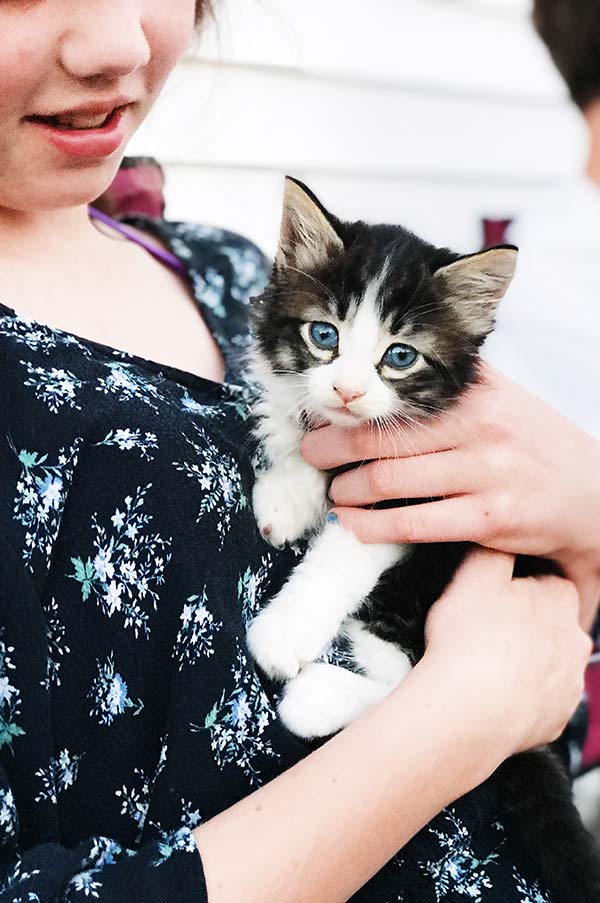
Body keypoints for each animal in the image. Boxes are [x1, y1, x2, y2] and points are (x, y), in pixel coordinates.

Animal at [246, 177, 600, 903]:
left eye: (399, 356)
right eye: (323, 336)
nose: (348, 390)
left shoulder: (415, 497)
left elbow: (343, 554)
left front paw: (286, 631)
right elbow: (307, 436)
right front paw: (289, 490)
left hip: (423, 584)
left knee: (421, 687)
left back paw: (317, 699)